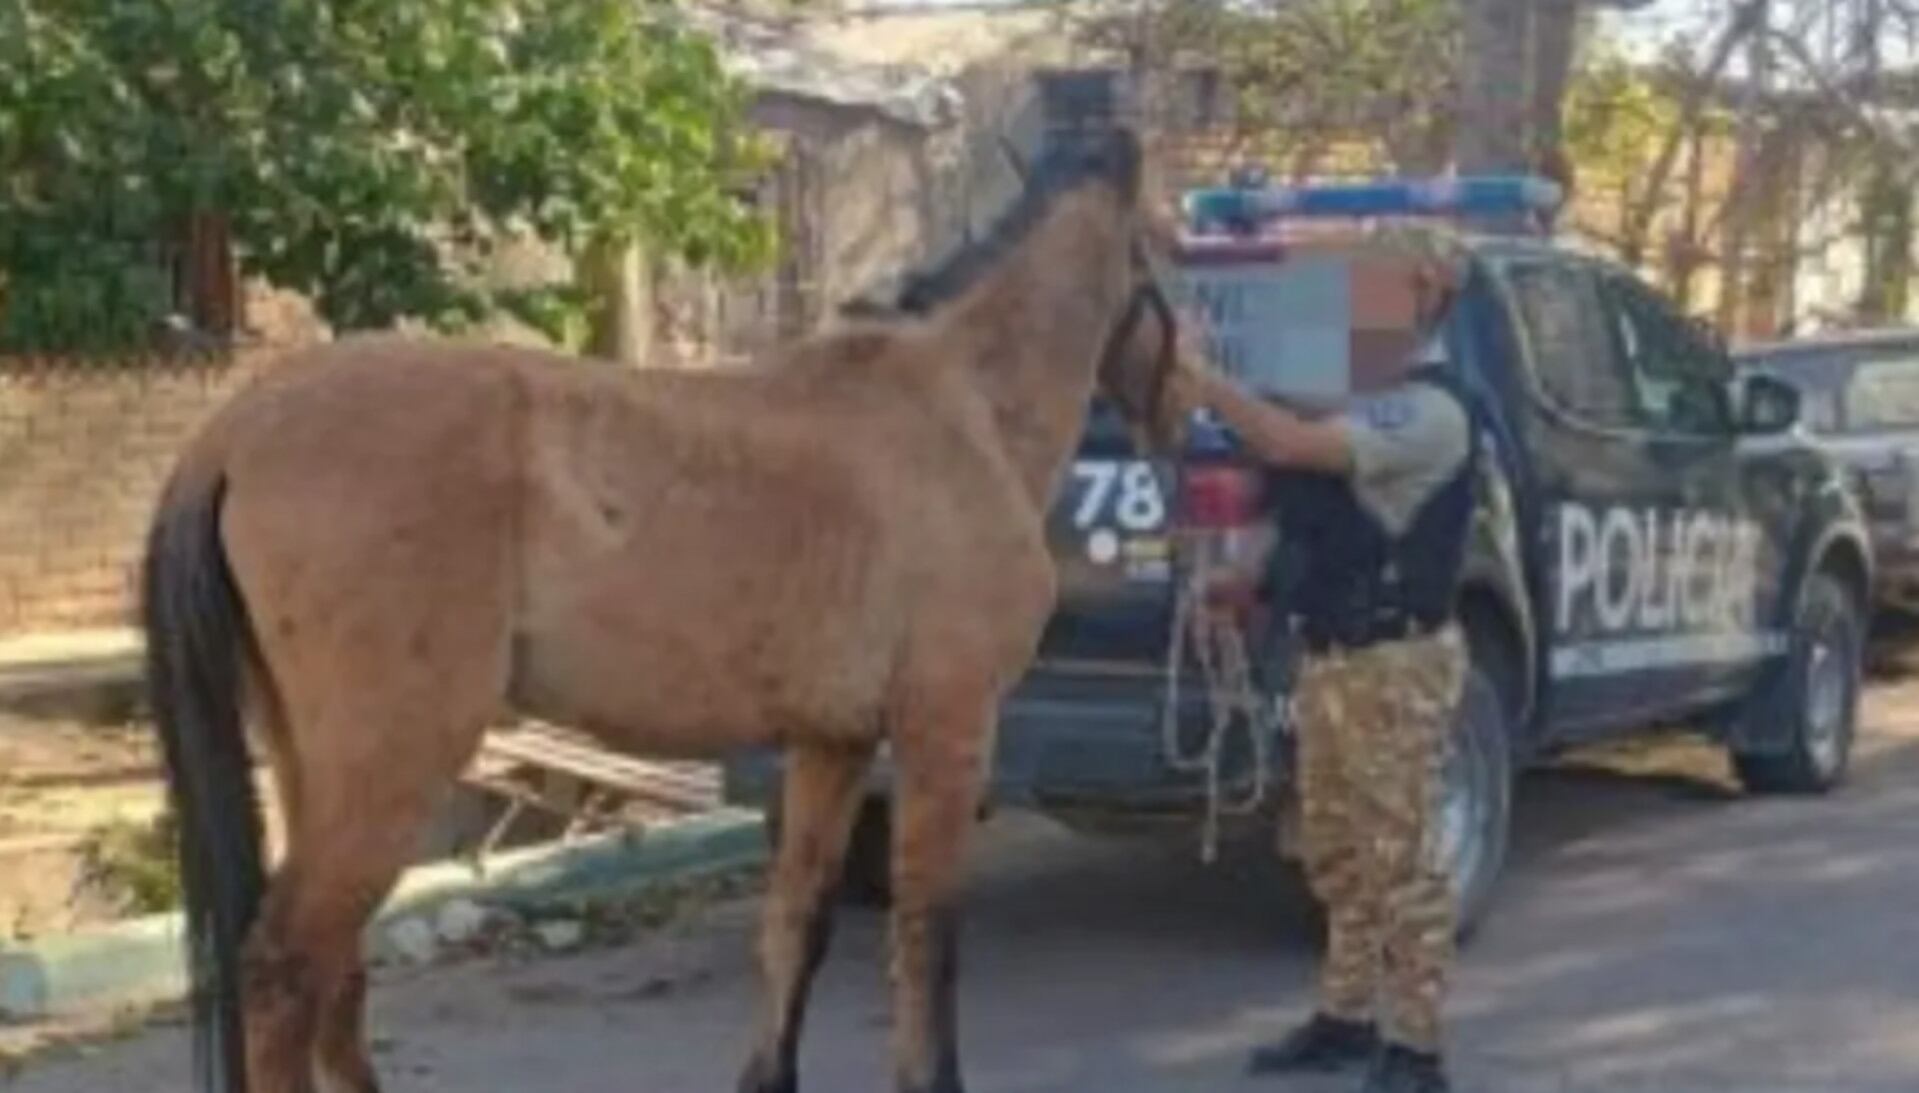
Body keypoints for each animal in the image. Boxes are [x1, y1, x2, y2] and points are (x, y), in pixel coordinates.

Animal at [141, 125, 1185, 1093]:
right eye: (1166, 249)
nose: (1176, 414)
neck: (962, 411)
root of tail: (236, 430)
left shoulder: (832, 742)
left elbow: (794, 922)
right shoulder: (946, 727)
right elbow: (929, 936)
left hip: (312, 762)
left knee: (332, 972)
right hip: (392, 764)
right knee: (287, 966)